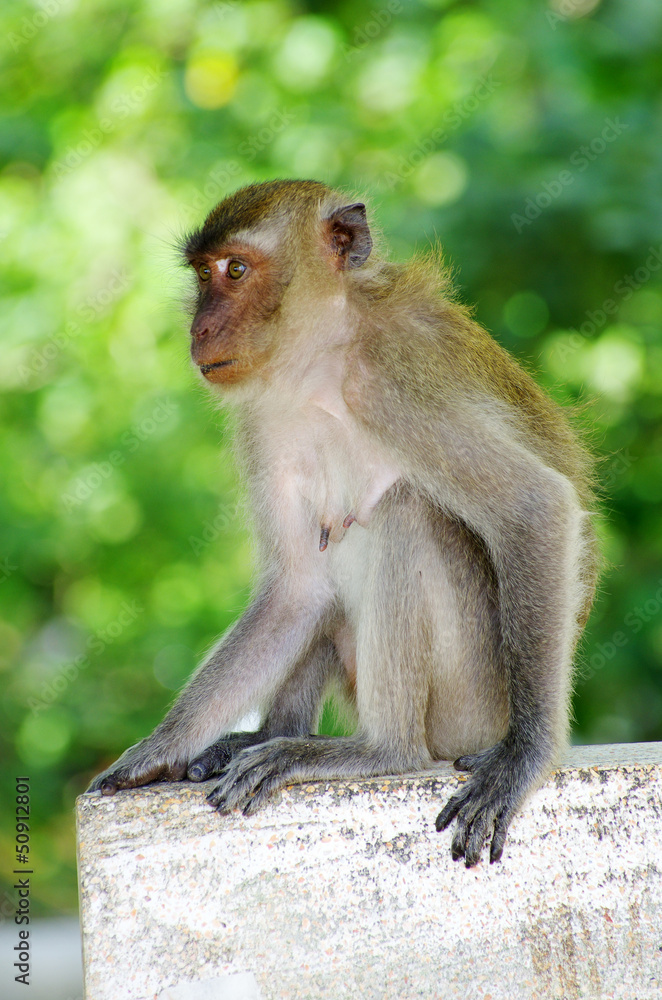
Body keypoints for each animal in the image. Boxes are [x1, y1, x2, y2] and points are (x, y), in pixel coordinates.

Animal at [88, 179, 599, 867]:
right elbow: (298, 587)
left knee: (405, 514)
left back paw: (382, 751)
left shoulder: (395, 381)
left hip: (472, 702)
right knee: (323, 575)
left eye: (236, 270)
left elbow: (535, 506)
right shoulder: (263, 416)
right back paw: (266, 735)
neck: (324, 361)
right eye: (202, 274)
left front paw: (525, 759)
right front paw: (162, 747)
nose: (201, 325)